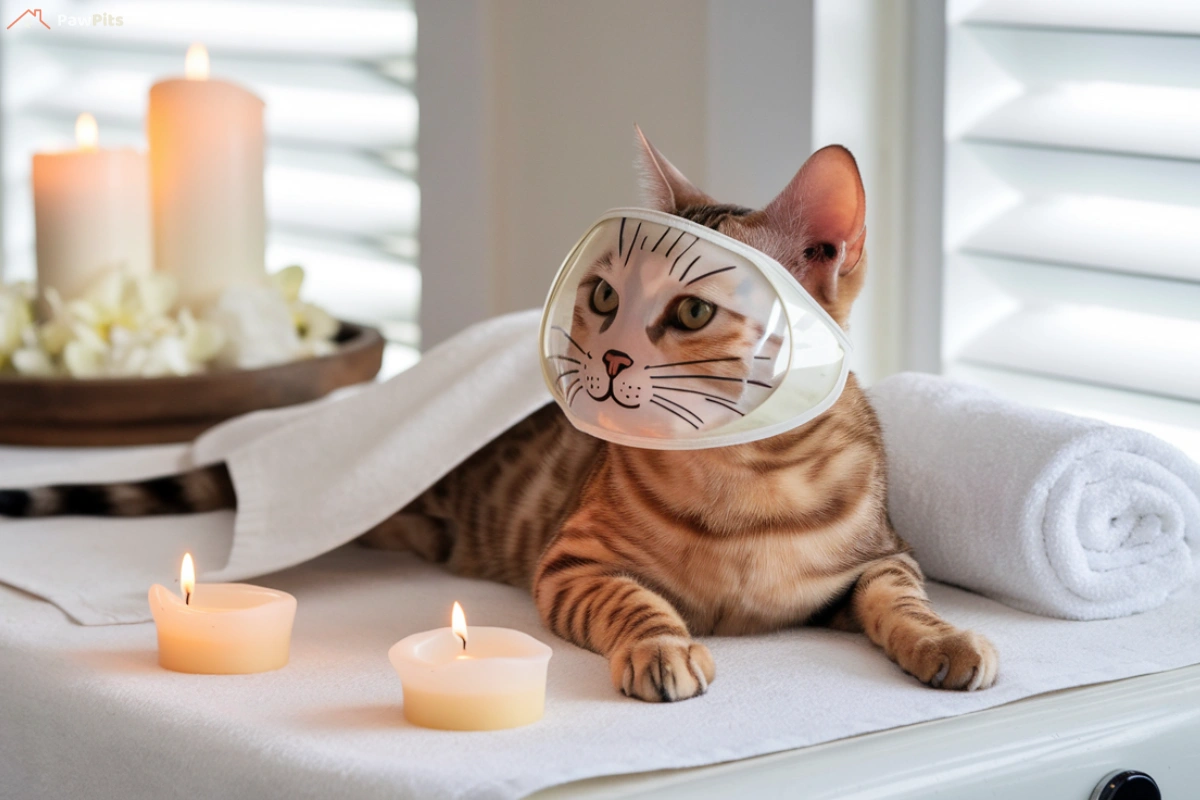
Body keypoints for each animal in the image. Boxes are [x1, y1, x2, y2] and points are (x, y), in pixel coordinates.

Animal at [0, 131, 998, 700]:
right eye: (604, 294)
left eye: (689, 311)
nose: (608, 357)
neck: (741, 480)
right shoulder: (575, 562)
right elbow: (639, 602)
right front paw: (663, 649)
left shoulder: (881, 557)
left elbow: (902, 601)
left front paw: (945, 640)